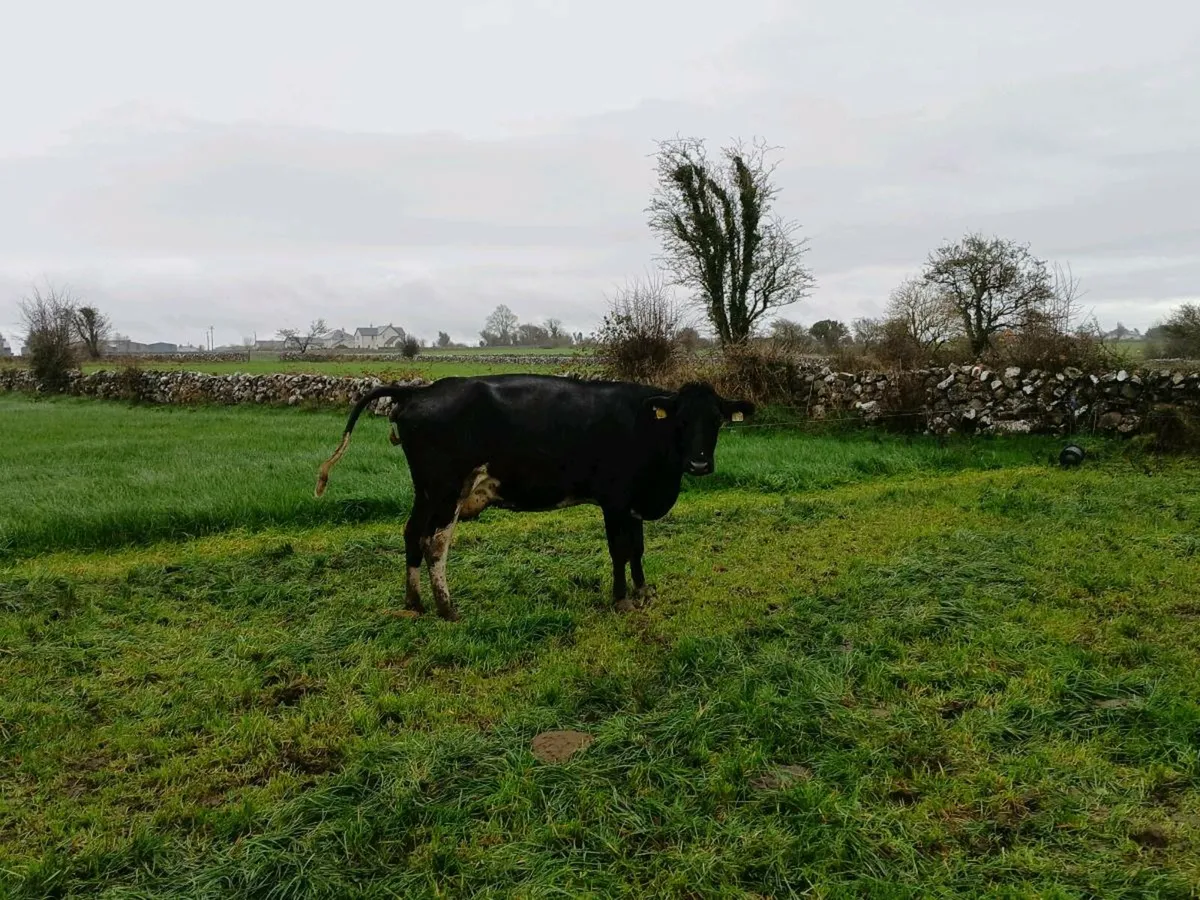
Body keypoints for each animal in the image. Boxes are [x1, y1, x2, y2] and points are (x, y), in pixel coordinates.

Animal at [314, 373, 755, 621]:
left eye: (716, 420)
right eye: (681, 420)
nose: (699, 464)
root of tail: (418, 392)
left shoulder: (631, 503)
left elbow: (638, 549)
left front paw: (643, 592)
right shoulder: (614, 499)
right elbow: (620, 550)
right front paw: (621, 600)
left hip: (424, 491)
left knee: (410, 534)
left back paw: (415, 602)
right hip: (445, 489)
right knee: (434, 542)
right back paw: (447, 608)